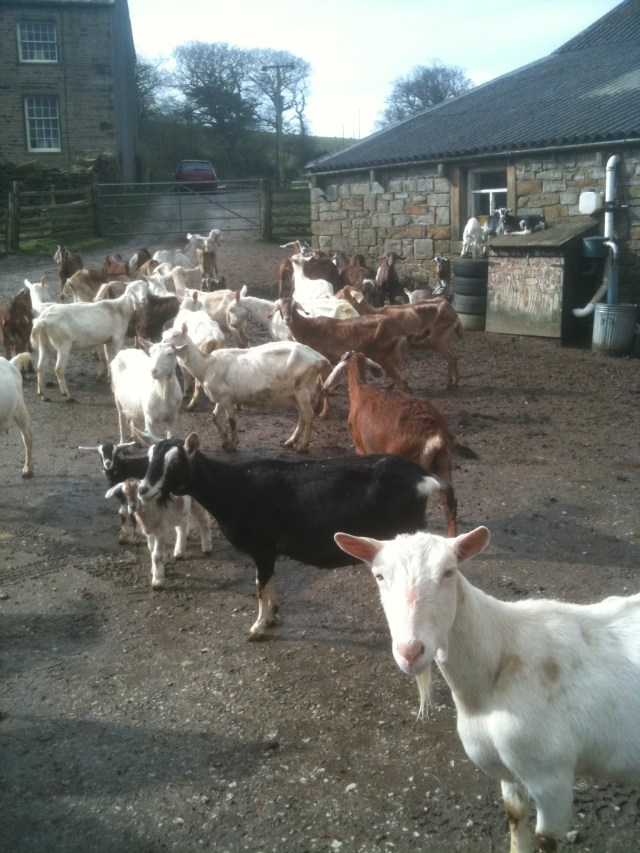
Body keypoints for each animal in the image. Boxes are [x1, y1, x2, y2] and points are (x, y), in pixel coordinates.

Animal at [138, 432, 450, 637]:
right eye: (149, 458)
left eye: (175, 463)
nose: (143, 490)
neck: (233, 487)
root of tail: (426, 479)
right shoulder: (269, 552)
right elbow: (268, 583)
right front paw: (273, 614)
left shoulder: (262, 547)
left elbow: (259, 586)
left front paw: (258, 627)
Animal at [162, 329, 331, 453]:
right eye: (163, 335)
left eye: (175, 335)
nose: (161, 344)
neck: (206, 365)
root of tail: (321, 358)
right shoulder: (220, 398)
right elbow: (214, 417)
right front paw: (224, 441)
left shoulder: (226, 398)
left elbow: (232, 421)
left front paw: (232, 444)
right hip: (297, 393)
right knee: (302, 415)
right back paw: (290, 441)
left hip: (303, 388)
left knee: (309, 416)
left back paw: (302, 446)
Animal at [276, 297, 409, 391]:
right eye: (279, 307)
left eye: (293, 306)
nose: (287, 319)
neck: (307, 327)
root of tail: (400, 330)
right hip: (395, 355)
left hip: (384, 355)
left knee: (402, 382)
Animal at [334, 526, 640, 853]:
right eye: (379, 576)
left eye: (449, 572)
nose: (410, 652)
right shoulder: (507, 769)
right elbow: (515, 814)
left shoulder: (551, 776)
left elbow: (546, 839)